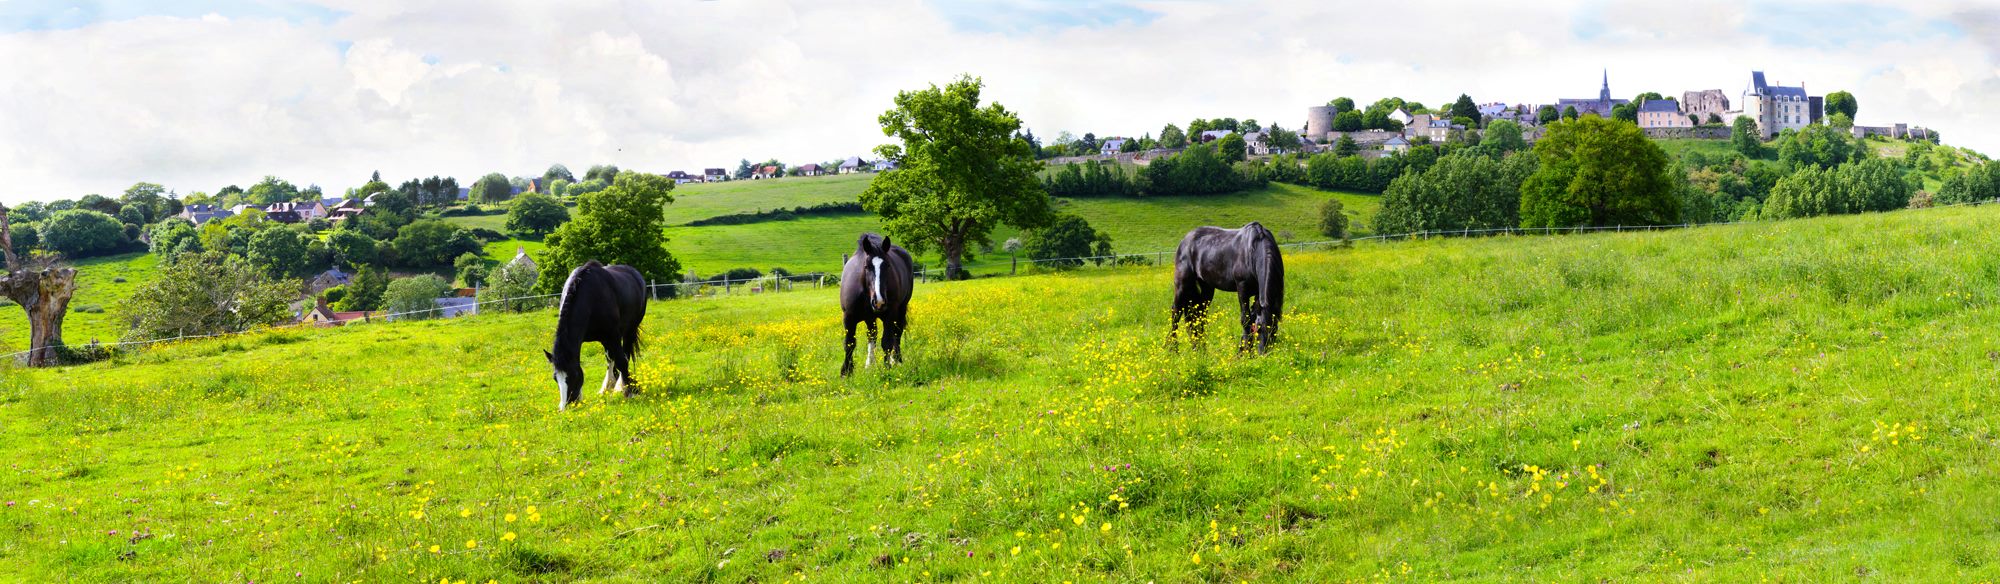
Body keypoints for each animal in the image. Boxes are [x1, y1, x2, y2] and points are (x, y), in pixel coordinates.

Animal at [544, 262, 644, 410]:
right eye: (555, 378)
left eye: (573, 376)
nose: (565, 407)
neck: (590, 297)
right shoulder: (604, 338)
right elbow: (611, 359)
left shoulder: (613, 335)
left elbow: (622, 361)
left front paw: (630, 391)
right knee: (610, 357)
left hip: (629, 330)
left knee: (625, 353)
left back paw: (620, 385)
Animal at [836, 235, 916, 376]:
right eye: (866, 266)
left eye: (888, 265)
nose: (879, 301)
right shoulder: (848, 317)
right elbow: (849, 343)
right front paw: (846, 371)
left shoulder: (889, 316)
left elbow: (886, 342)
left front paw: (887, 367)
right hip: (870, 318)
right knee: (872, 336)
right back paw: (869, 364)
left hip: (901, 310)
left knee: (897, 333)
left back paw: (896, 360)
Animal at [1168, 221, 1288, 354]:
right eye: (1259, 329)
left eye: (1274, 330)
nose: (1263, 354)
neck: (1253, 250)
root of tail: (1185, 240)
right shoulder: (1242, 288)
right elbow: (1245, 320)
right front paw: (1245, 352)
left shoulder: (1258, 293)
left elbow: (1251, 317)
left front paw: (1244, 350)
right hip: (1182, 284)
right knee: (1176, 313)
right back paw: (1173, 349)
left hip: (1207, 289)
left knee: (1198, 317)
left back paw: (1200, 349)